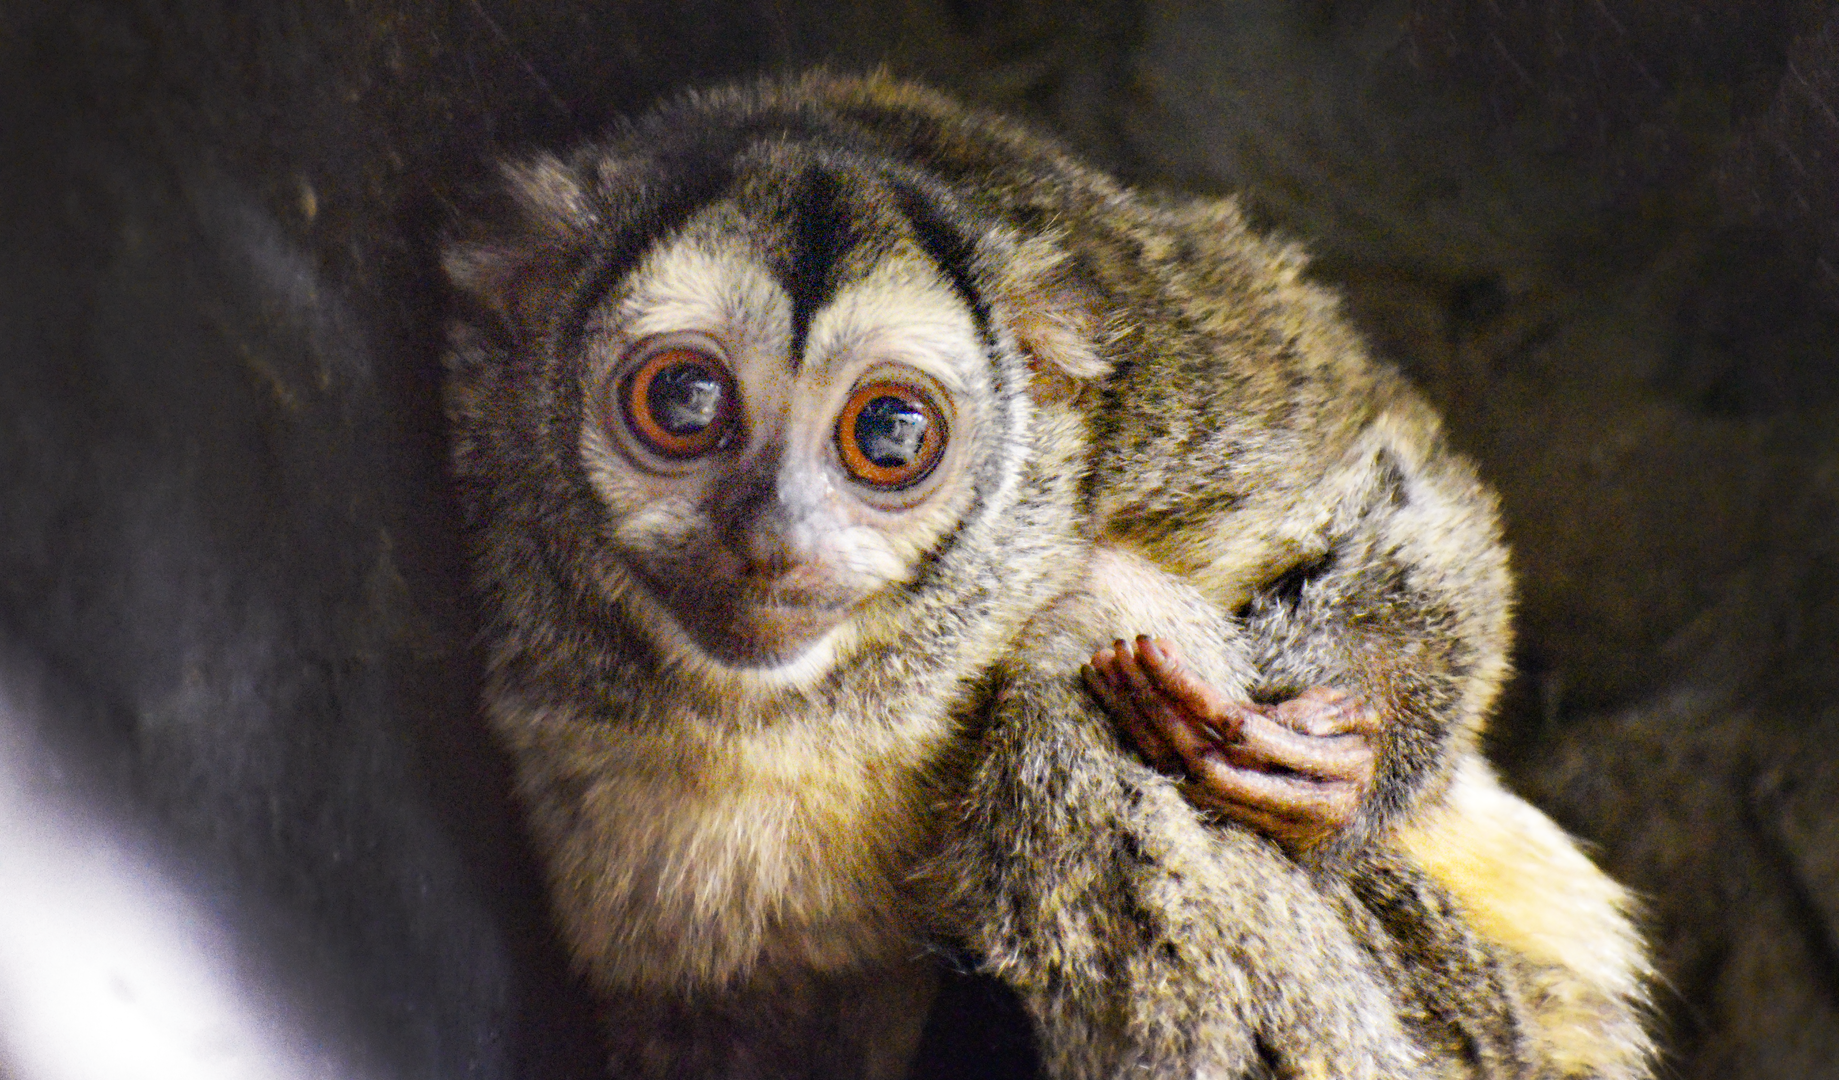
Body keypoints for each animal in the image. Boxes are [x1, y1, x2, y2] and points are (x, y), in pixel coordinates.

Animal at [440, 70, 1649, 1079]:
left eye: (889, 432)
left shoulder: (1161, 364)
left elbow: (1388, 454)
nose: (775, 536)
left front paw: (1342, 753)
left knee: (1082, 647)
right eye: (683, 402)